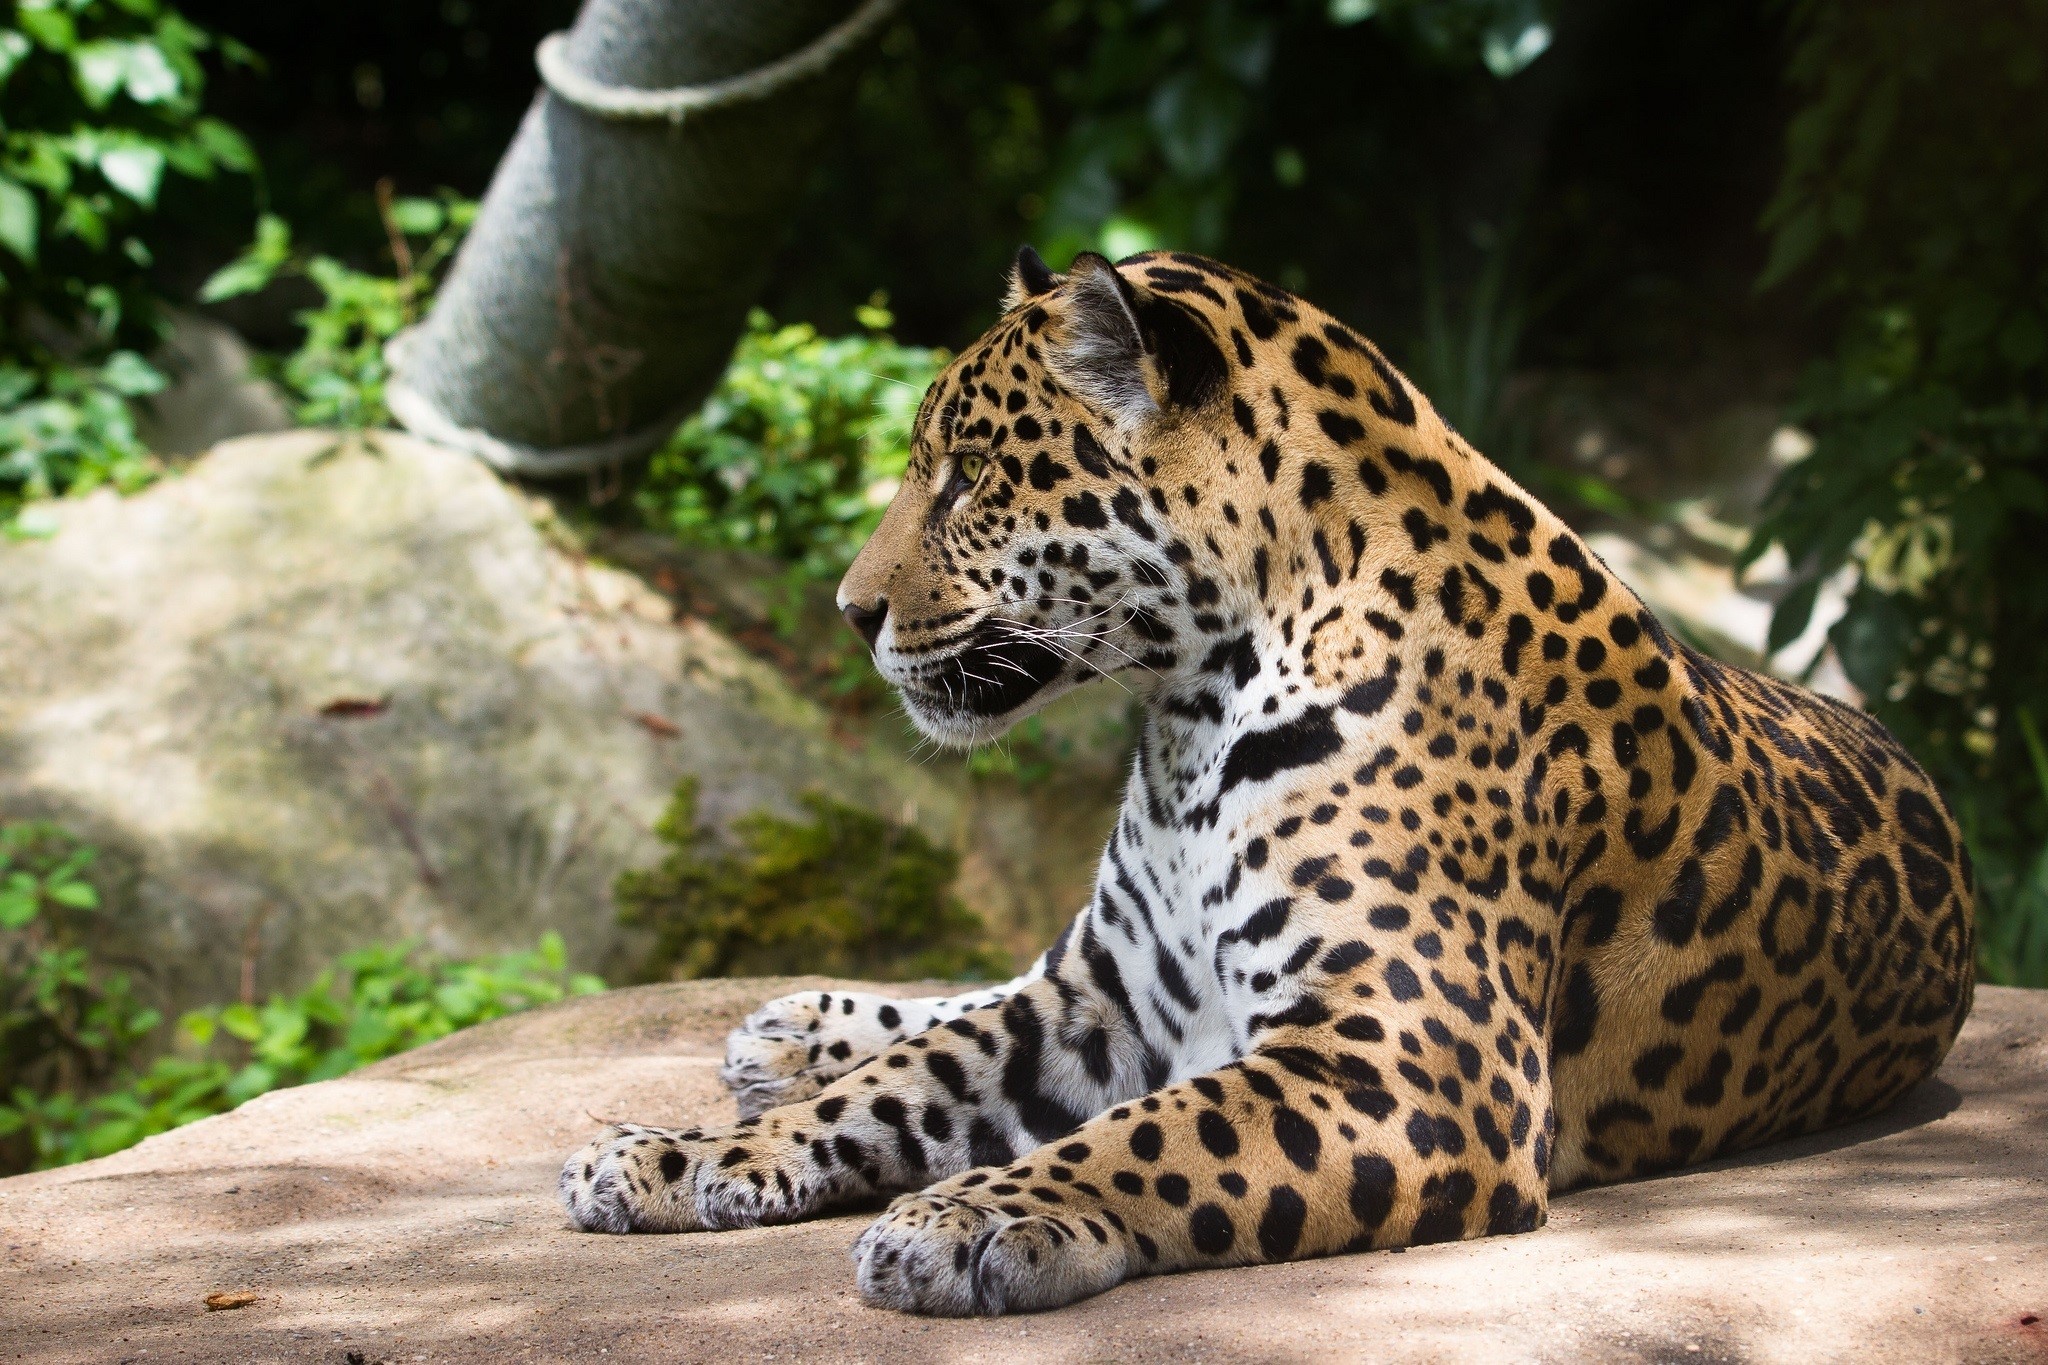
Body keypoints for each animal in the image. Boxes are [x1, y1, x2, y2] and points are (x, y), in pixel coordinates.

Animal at [561, 247, 1976, 1316]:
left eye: (967, 477)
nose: (849, 612)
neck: (1188, 713)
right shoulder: (1102, 1001)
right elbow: (904, 1084)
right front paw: (684, 1156)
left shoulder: (1412, 1057)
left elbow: (1150, 1132)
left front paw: (965, 1217)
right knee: (968, 995)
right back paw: (792, 1033)